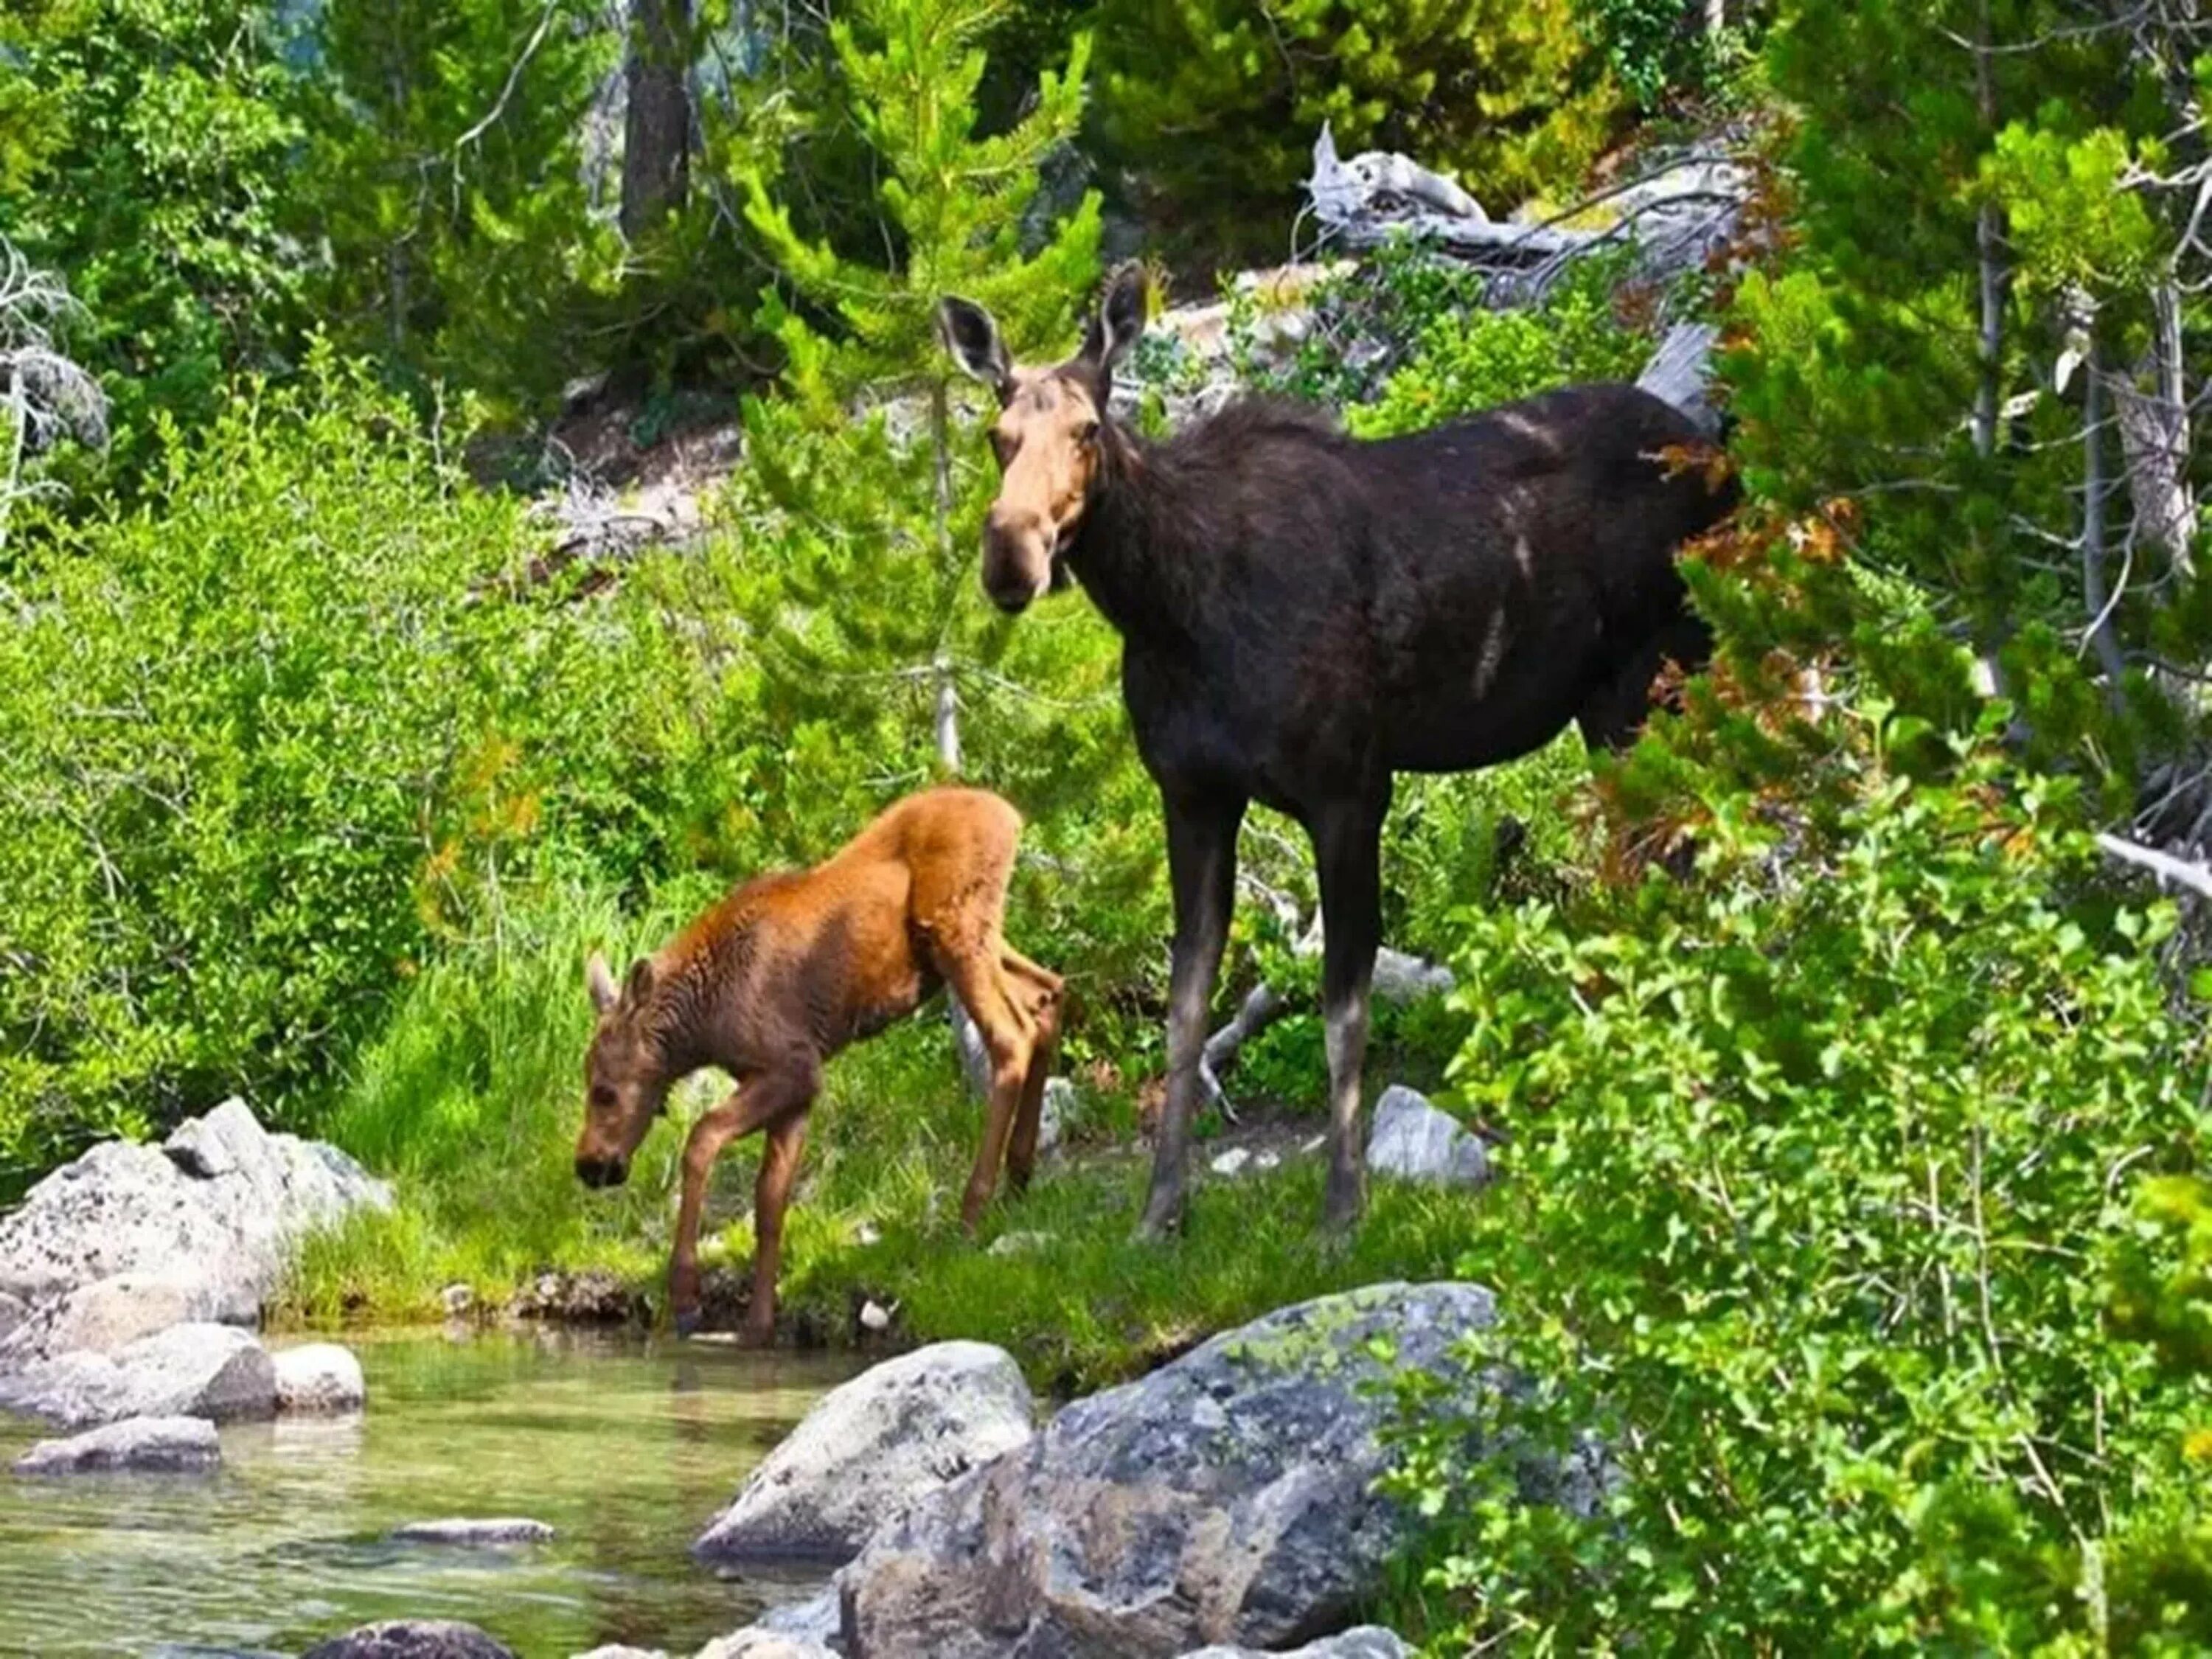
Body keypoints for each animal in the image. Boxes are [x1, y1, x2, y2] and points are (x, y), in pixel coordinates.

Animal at [575, 787, 1066, 1345]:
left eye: (606, 1091)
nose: (588, 1164)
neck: (704, 1024)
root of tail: (1011, 815)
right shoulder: (796, 1091)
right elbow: (770, 1202)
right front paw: (759, 1325)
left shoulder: (795, 1067)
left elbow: (702, 1138)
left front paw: (686, 1299)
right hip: (974, 944)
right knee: (1048, 995)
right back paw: (1019, 1176)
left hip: (955, 931)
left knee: (1013, 1034)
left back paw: (972, 1209)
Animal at [933, 263, 1725, 1239]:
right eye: (997, 435)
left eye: (1087, 429)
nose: (1011, 558)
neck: (1171, 612)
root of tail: (1723, 461)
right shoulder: (1192, 794)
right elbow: (1187, 1007)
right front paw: (1162, 1211)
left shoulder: (1348, 789)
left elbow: (1345, 1005)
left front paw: (1343, 1208)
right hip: (1613, 706)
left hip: (1656, 677)